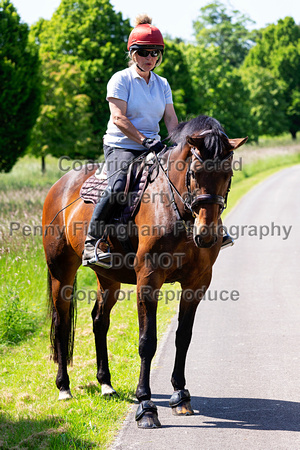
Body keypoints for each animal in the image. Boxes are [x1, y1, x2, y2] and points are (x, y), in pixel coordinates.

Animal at [42, 113, 248, 428]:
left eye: (228, 175)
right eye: (194, 173)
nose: (207, 235)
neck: (176, 209)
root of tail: (59, 186)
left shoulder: (197, 284)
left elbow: (183, 337)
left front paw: (181, 396)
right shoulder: (148, 281)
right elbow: (147, 342)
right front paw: (146, 405)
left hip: (108, 278)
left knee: (99, 320)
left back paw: (106, 384)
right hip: (61, 273)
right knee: (63, 322)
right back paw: (64, 387)